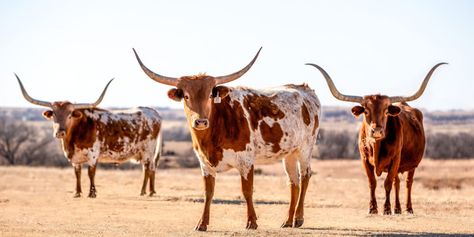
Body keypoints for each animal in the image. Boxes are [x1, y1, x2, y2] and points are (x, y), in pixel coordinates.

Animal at [15, 75, 163, 197]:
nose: (60, 132)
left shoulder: (93, 155)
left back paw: (145, 191)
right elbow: (77, 173)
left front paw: (92, 193)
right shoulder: (75, 159)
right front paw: (77, 192)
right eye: (54, 115)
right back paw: (148, 191)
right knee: (148, 168)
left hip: (148, 151)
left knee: (149, 168)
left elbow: (91, 173)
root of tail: (153, 112)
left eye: (70, 115)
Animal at [132, 47, 318, 231]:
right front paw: (202, 223)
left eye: (209, 95)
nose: (201, 122)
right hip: (289, 153)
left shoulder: (246, 161)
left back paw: (298, 218)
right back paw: (288, 220)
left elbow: (247, 191)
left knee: (305, 176)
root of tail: (304, 89)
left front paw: (251, 222)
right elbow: (208, 193)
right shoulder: (205, 163)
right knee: (293, 182)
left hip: (305, 148)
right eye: (186, 96)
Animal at [310, 62, 446, 215]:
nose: (377, 131)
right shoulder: (364, 159)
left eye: (386, 111)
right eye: (366, 111)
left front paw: (386, 209)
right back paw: (397, 209)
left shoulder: (395, 159)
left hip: (412, 165)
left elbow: (387, 183)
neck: (376, 146)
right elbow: (372, 182)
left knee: (408, 183)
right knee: (397, 183)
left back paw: (408, 208)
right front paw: (373, 208)